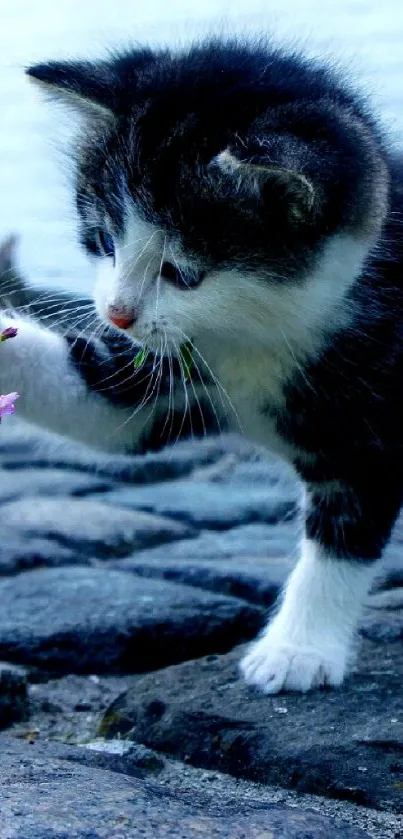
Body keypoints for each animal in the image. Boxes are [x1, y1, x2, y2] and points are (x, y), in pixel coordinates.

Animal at [1, 37, 402, 696]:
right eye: (104, 241)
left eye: (183, 274)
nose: (116, 314)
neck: (259, 335)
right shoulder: (176, 363)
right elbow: (106, 409)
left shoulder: (375, 418)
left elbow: (344, 532)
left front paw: (297, 650)